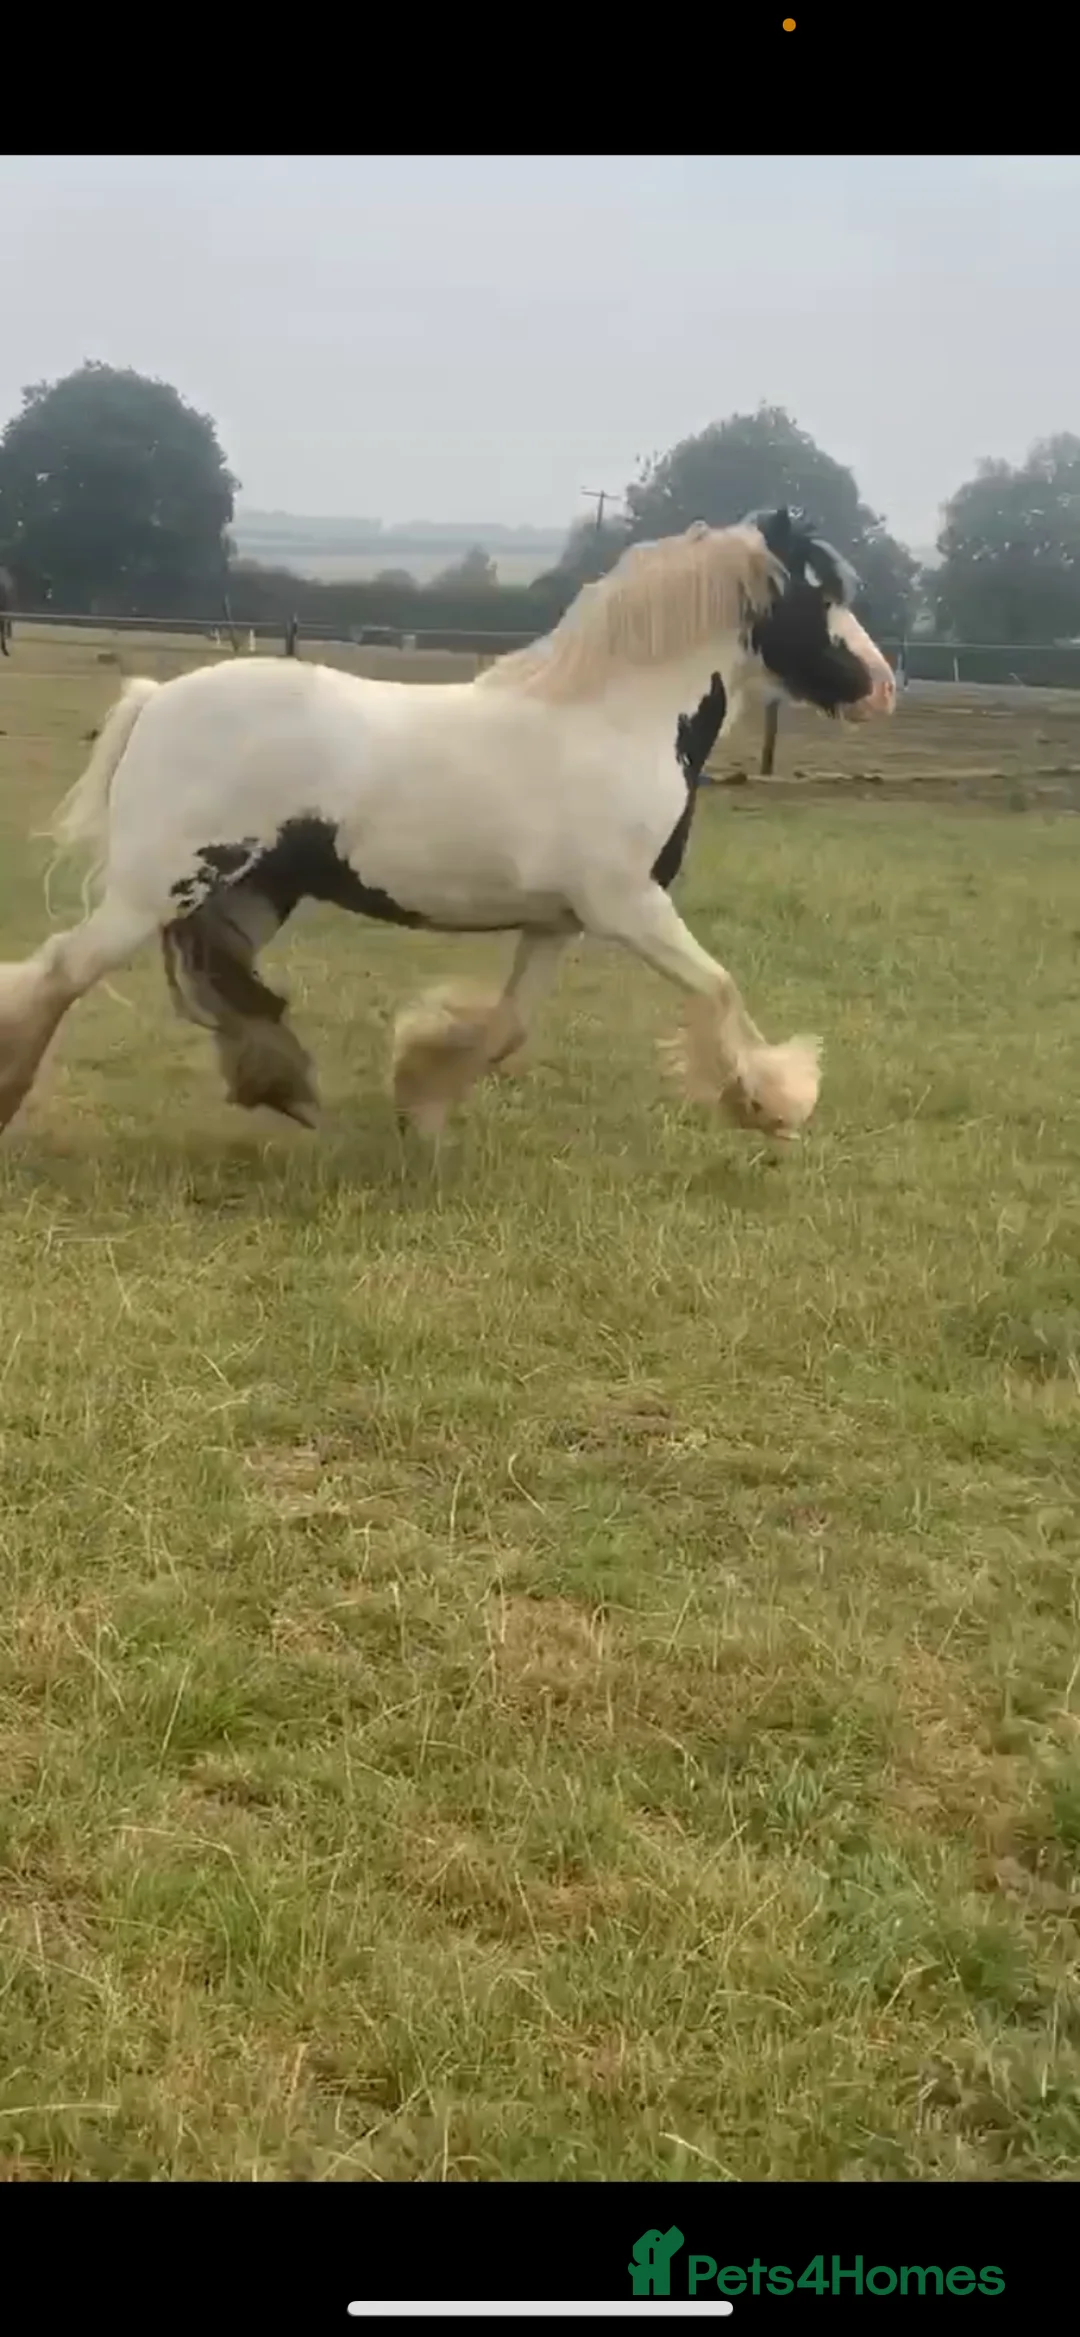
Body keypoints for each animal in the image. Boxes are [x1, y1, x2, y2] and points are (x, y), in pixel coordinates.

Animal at [0, 507, 896, 1147]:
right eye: (822, 595)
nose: (883, 686)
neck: (616, 721)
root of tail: (156, 700)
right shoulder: (629, 907)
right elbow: (719, 987)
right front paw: (774, 1103)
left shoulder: (558, 921)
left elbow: (505, 1025)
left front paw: (420, 1101)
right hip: (160, 887)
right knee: (61, 971)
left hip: (246, 891)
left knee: (223, 984)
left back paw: (283, 1085)